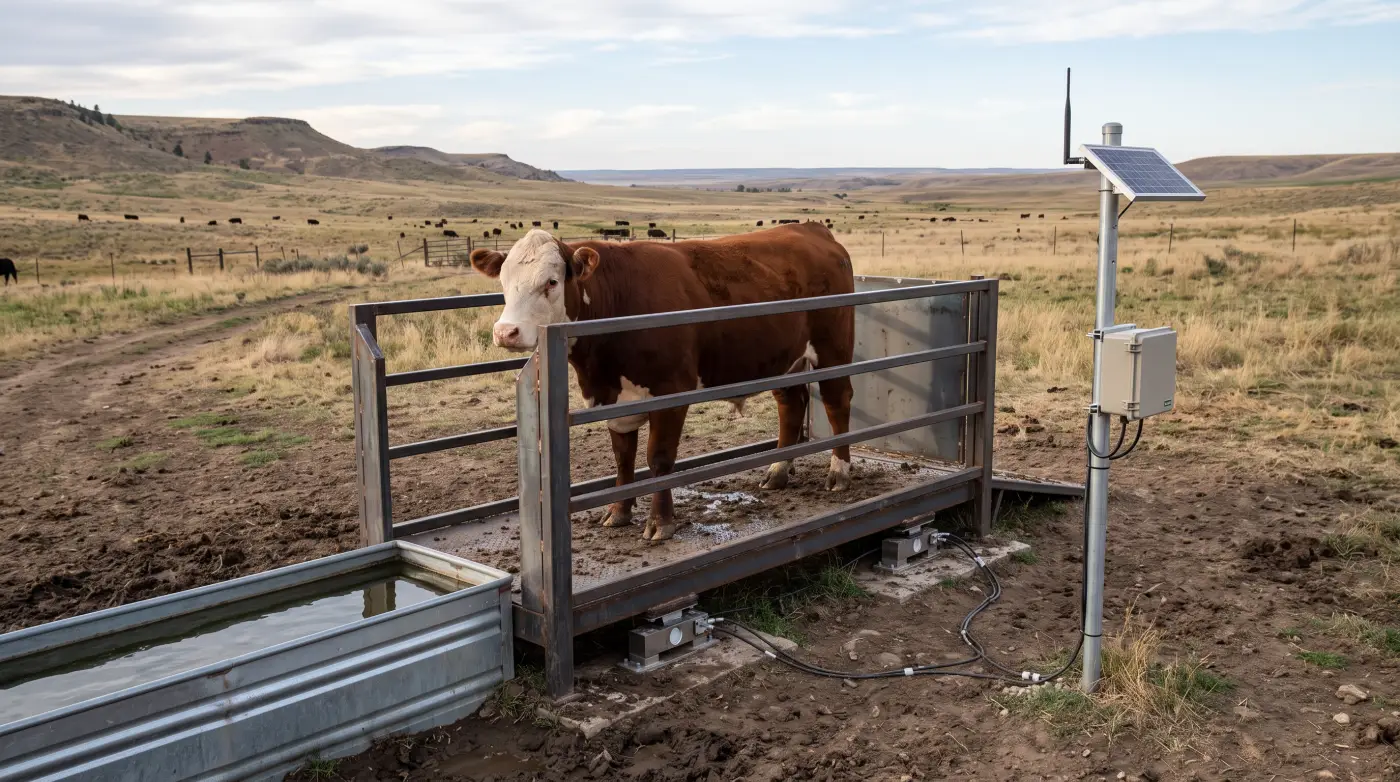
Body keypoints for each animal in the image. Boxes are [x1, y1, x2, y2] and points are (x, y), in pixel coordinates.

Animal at [468, 225, 855, 541]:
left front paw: (660, 523)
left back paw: (839, 473)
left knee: (837, 401)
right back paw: (777, 472)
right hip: (784, 361)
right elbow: (623, 459)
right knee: (791, 405)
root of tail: (812, 229)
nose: (506, 332)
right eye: (503, 281)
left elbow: (659, 459)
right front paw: (618, 513)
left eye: (550, 282)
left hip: (833, 349)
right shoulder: (613, 398)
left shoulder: (670, 393)